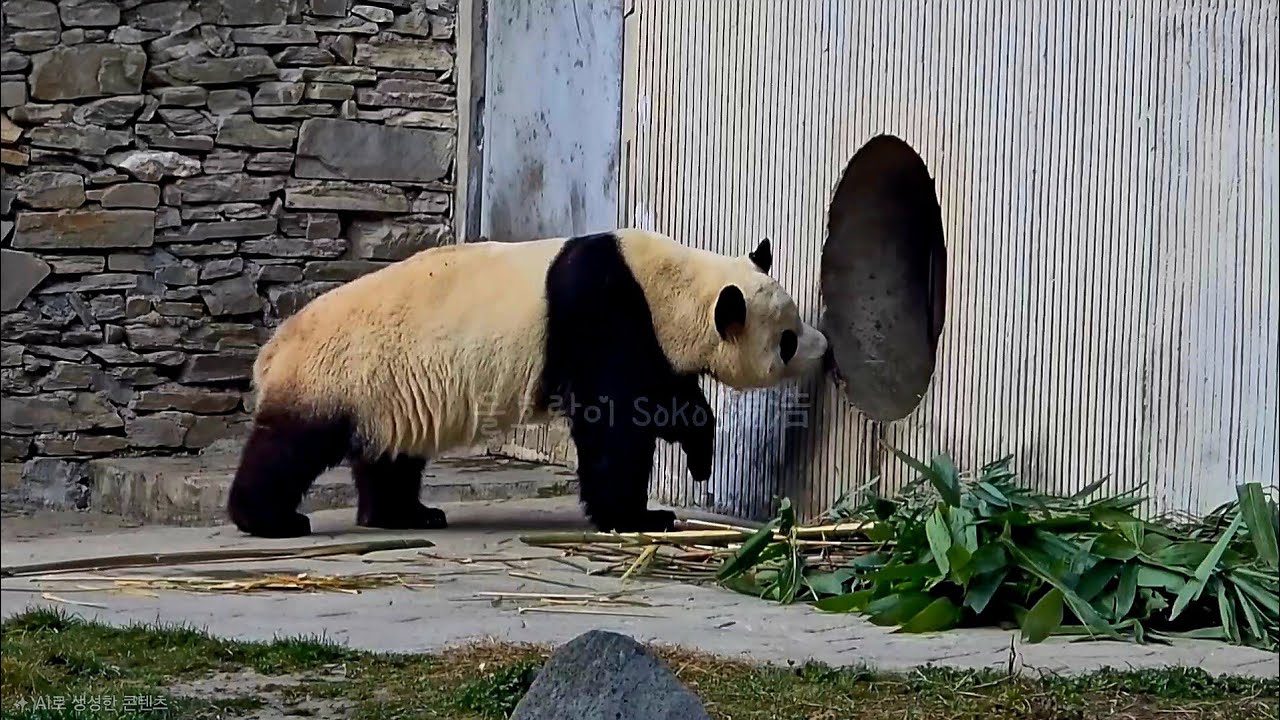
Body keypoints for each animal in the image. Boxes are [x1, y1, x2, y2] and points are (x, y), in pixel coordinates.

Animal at [227, 228, 830, 538]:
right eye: (787, 339)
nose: (824, 349)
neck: (670, 286)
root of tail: (271, 351)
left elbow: (666, 398)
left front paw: (696, 456)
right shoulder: (604, 315)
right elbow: (617, 424)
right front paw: (641, 515)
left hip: (390, 392)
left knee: (390, 455)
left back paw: (406, 515)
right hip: (337, 375)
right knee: (291, 447)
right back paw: (271, 520)